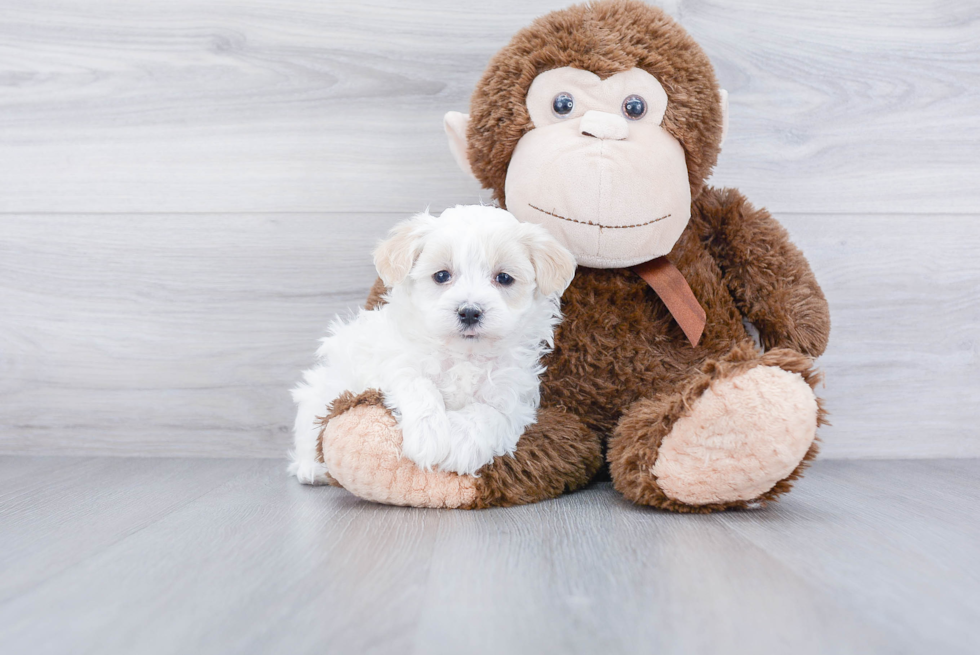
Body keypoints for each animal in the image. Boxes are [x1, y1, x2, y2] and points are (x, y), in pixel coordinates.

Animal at [288, 206, 580, 486]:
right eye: (441, 275)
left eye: (504, 278)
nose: (470, 312)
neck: (465, 355)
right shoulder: (393, 362)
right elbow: (418, 384)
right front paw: (428, 436)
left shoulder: (512, 397)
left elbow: (488, 412)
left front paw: (460, 442)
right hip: (321, 393)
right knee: (309, 431)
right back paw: (311, 469)